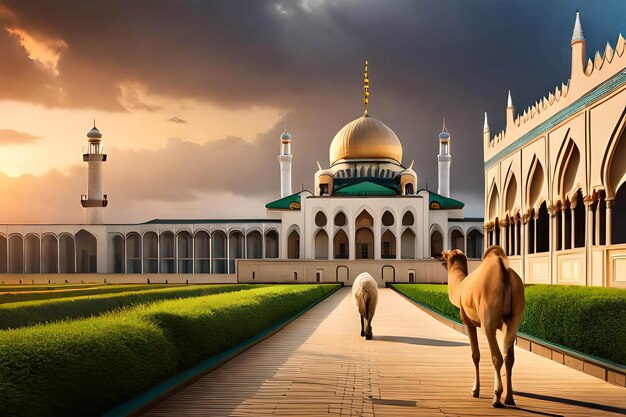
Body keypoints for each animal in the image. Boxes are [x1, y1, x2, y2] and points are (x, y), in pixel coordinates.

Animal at [442, 244, 524, 406]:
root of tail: (504, 273)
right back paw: (510, 398)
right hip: (516, 313)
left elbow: (475, 355)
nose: (440, 253)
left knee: (496, 356)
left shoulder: (467, 321)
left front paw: (475, 390)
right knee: (509, 357)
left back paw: (497, 398)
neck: (460, 288)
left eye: (447, 255)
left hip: (488, 318)